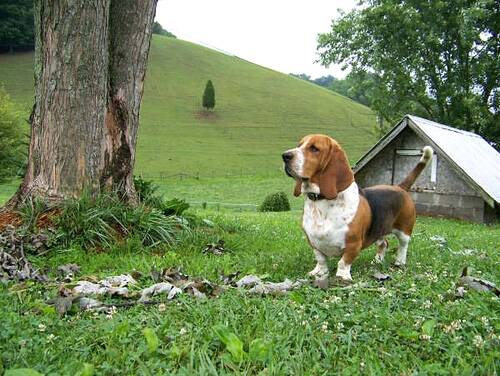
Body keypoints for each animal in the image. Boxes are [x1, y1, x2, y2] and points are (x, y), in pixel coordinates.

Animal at [282, 133, 434, 282]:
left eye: (314, 148)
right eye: (299, 145)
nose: (285, 156)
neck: (321, 201)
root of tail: (399, 187)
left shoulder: (353, 244)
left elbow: (343, 262)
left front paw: (342, 276)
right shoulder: (314, 242)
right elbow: (321, 259)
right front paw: (319, 272)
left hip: (404, 230)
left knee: (403, 246)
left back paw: (400, 262)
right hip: (379, 231)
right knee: (384, 243)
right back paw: (377, 261)